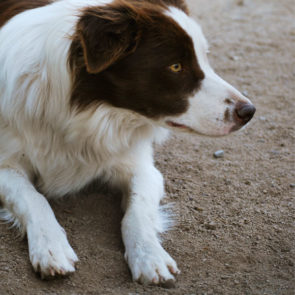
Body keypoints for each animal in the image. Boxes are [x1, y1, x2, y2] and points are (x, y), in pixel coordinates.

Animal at [0, 0, 256, 288]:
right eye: (176, 66)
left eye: (204, 57)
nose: (249, 111)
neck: (86, 114)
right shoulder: (6, 162)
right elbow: (34, 198)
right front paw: (51, 247)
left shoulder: (141, 166)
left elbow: (137, 213)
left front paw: (150, 256)